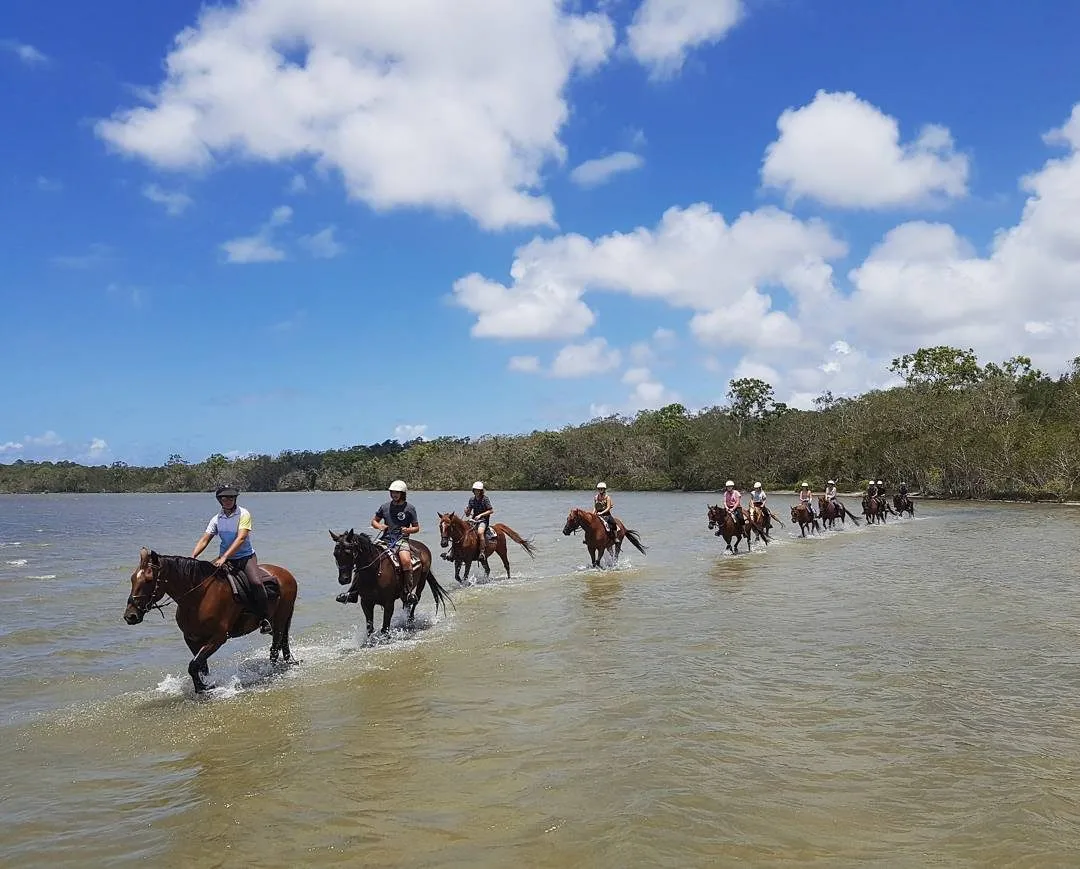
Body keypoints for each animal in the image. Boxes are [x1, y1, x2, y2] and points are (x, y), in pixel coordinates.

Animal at [123, 547, 298, 694]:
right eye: (132, 578)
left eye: (148, 580)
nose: (130, 616)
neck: (198, 598)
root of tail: (286, 573)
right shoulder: (191, 639)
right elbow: (200, 666)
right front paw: (204, 684)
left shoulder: (217, 639)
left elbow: (193, 665)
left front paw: (203, 688)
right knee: (283, 642)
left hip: (280, 620)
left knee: (275, 647)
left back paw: (271, 671)